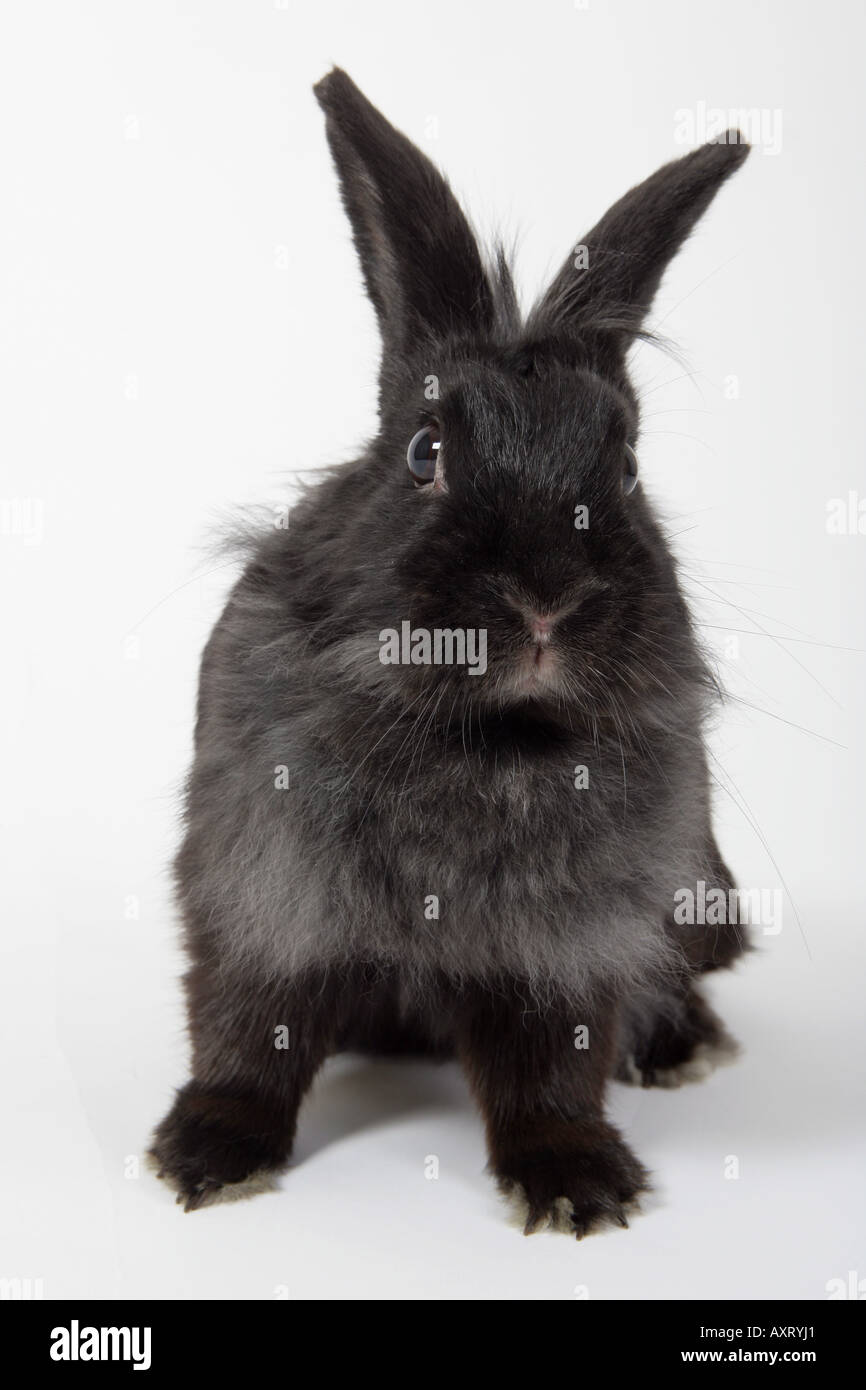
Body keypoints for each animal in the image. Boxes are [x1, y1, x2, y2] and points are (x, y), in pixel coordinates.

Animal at [150, 67, 751, 1236]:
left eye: (624, 469)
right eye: (426, 452)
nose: (543, 603)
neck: (483, 737)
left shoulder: (568, 947)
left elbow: (552, 1071)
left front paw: (578, 1185)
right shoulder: (259, 892)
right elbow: (247, 1032)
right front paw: (203, 1157)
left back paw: (684, 1047)